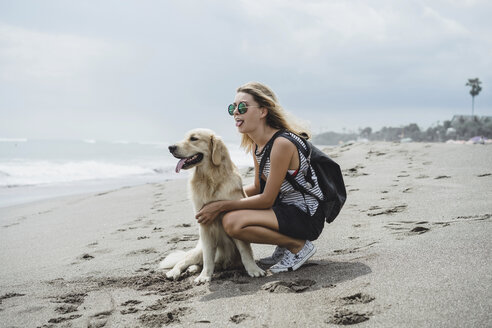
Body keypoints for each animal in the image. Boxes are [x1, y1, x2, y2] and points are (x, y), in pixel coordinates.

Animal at [160, 129, 264, 284]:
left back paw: (194, 269)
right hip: (198, 249)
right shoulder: (204, 225)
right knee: (184, 260)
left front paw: (253, 269)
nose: (170, 147)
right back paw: (176, 272)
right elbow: (208, 257)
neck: (210, 178)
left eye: (194, 138)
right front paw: (204, 276)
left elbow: (245, 251)